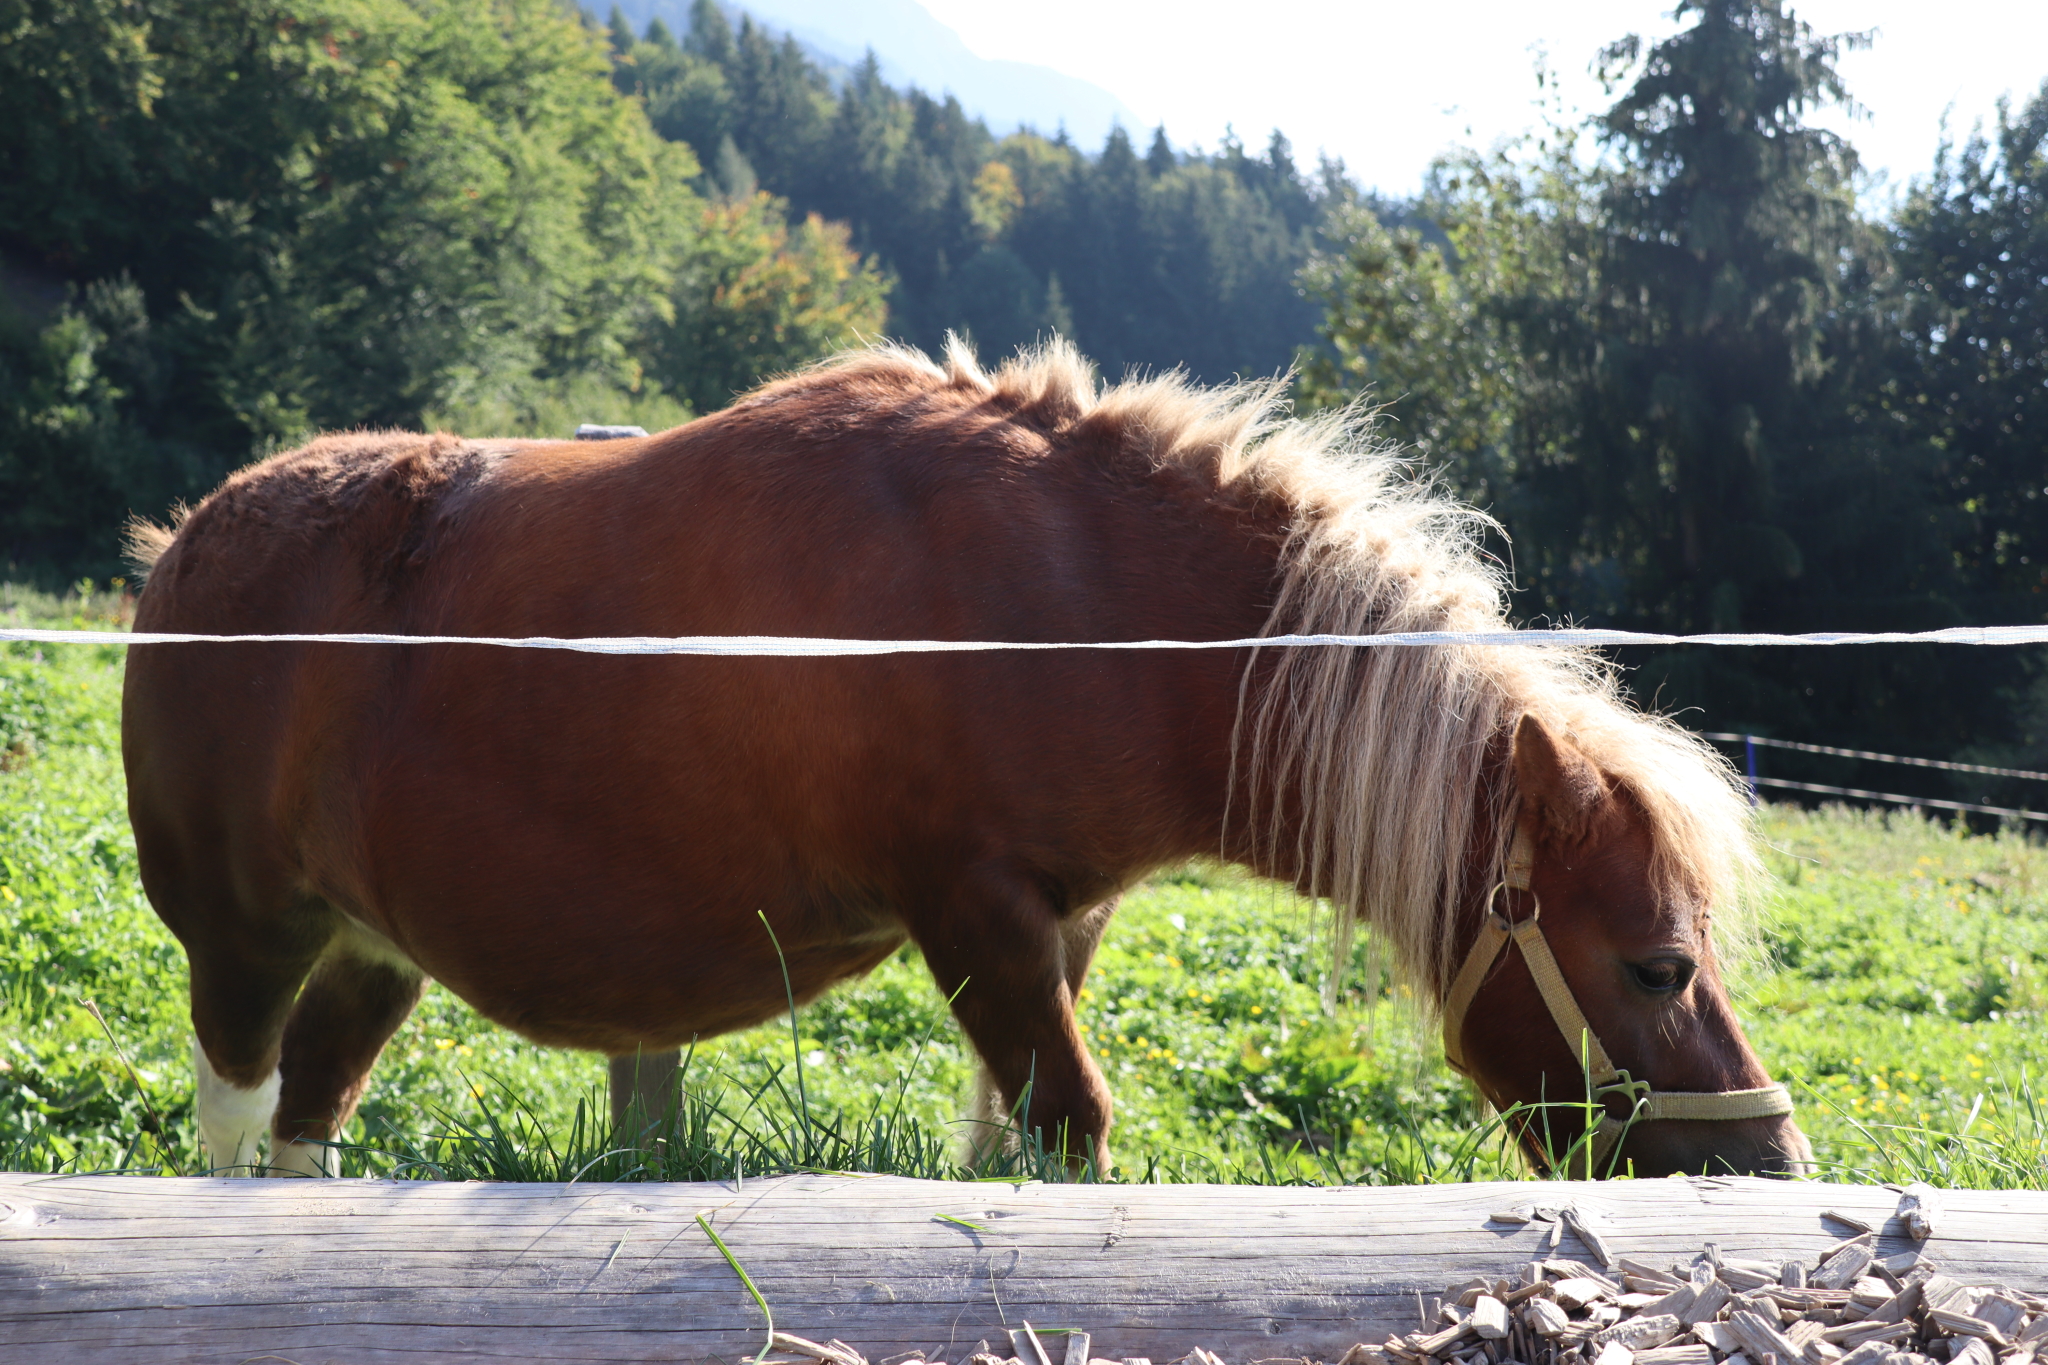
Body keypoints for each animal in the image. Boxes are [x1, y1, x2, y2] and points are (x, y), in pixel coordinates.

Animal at [119, 339, 1810, 1178]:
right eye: (1659, 964)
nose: (1774, 1166)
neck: (1073, 596)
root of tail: (184, 541)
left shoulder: (1058, 927)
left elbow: (1014, 1145)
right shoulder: (975, 913)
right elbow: (1070, 1131)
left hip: (370, 956)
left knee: (305, 1129)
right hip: (244, 947)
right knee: (231, 1126)